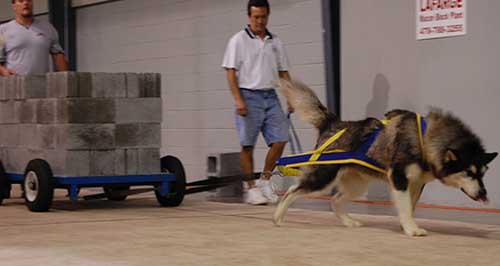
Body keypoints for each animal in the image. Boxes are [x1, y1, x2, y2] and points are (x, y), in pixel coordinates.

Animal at [276, 79, 498, 237]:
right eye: (468, 173)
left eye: (483, 174)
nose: (484, 194)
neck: (424, 139)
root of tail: (333, 122)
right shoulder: (399, 178)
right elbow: (405, 206)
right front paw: (411, 229)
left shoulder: (416, 183)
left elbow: (410, 206)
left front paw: (406, 225)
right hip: (323, 177)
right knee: (292, 191)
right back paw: (278, 216)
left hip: (357, 185)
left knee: (335, 200)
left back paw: (349, 222)